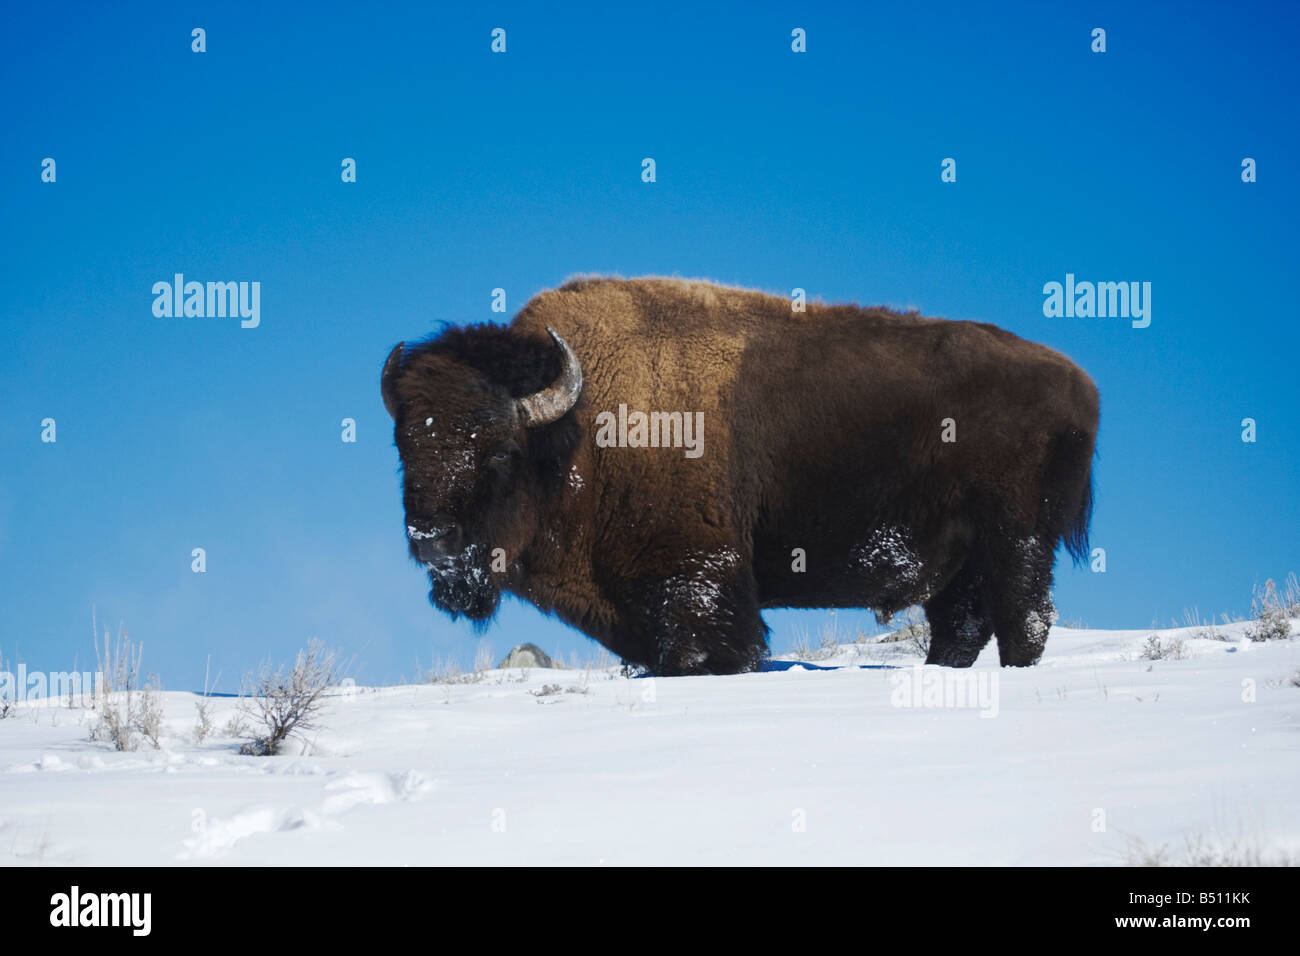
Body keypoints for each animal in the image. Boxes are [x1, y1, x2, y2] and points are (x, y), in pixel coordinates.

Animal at [382, 277, 1097, 676]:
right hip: (960, 560)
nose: (432, 542)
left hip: (1016, 540)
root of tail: (1078, 383)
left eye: (500, 450)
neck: (579, 432)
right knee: (963, 625)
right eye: (404, 447)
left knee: (1025, 619)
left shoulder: (696, 588)